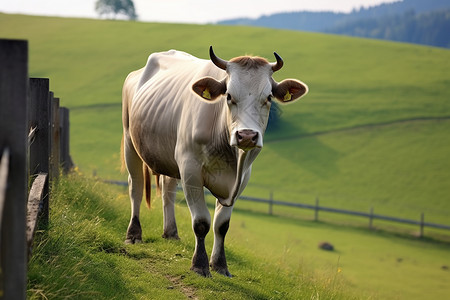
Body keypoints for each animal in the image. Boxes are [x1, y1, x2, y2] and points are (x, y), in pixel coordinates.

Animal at [121, 45, 308, 278]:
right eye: (228, 96)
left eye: (268, 97)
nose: (247, 136)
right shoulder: (190, 170)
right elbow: (201, 222)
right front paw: (199, 265)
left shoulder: (242, 178)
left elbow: (222, 225)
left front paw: (220, 265)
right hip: (130, 141)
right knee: (135, 187)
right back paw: (133, 234)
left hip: (169, 154)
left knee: (168, 190)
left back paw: (171, 232)